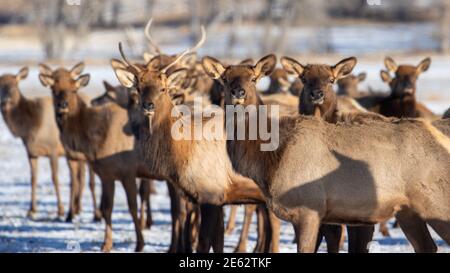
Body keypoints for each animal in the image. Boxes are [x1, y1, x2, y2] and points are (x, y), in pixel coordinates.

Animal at [0, 66, 99, 221]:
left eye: (15, 85)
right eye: (0, 86)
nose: (5, 102)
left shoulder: (53, 149)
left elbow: (55, 178)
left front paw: (61, 210)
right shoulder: (31, 152)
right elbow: (33, 178)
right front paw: (31, 210)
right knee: (80, 178)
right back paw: (77, 209)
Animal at [203, 54, 450, 252]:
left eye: (253, 78)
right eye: (224, 79)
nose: (238, 92)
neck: (268, 162)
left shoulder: (309, 208)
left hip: (436, 202)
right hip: (408, 211)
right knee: (427, 247)